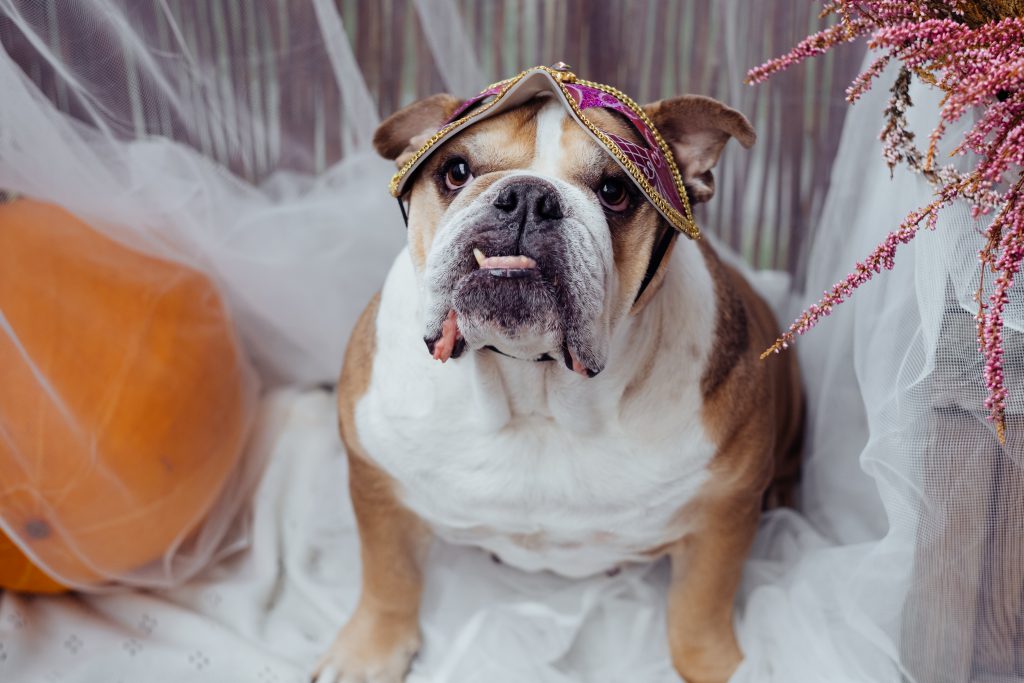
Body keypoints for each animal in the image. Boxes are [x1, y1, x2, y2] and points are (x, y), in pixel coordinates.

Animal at [315, 65, 802, 683]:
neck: (534, 391)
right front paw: (368, 651)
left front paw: (722, 666)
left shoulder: (725, 511)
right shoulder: (376, 481)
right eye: (456, 171)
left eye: (616, 192)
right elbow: (388, 574)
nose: (527, 196)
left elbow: (700, 610)